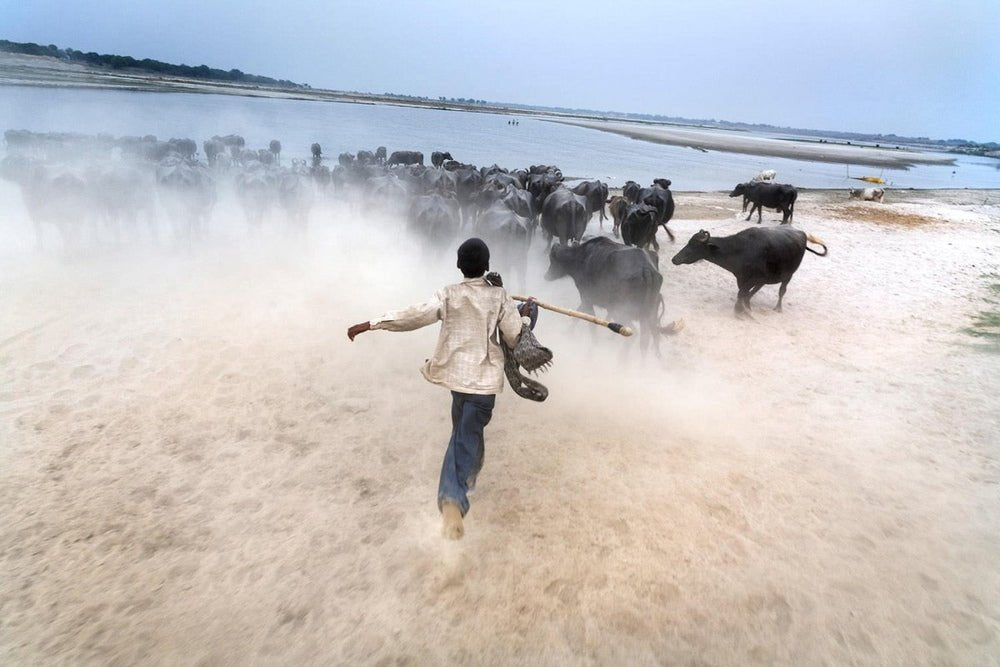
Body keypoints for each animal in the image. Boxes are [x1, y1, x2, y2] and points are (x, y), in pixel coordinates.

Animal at [544, 237, 676, 358]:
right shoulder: (587, 299)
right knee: (647, 339)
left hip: (621, 311)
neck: (581, 257)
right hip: (648, 314)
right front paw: (568, 332)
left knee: (634, 334)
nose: (546, 276)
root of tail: (646, 269)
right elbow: (578, 313)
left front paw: (592, 346)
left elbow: (590, 323)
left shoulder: (587, 298)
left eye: (552, 259)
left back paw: (621, 360)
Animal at [672, 228, 828, 318]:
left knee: (782, 291)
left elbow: (742, 293)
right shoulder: (741, 278)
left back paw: (778, 308)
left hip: (788, 276)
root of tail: (801, 233)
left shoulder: (754, 278)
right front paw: (743, 309)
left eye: (694, 245)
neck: (740, 250)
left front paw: (739, 310)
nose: (674, 259)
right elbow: (742, 292)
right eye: (688, 242)